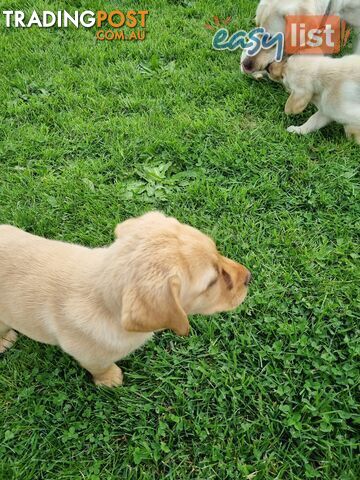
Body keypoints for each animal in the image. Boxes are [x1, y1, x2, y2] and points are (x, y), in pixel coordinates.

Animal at [0, 212, 250, 388]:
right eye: (211, 283)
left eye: (217, 251)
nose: (249, 276)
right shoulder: (88, 355)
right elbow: (100, 367)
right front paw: (110, 379)